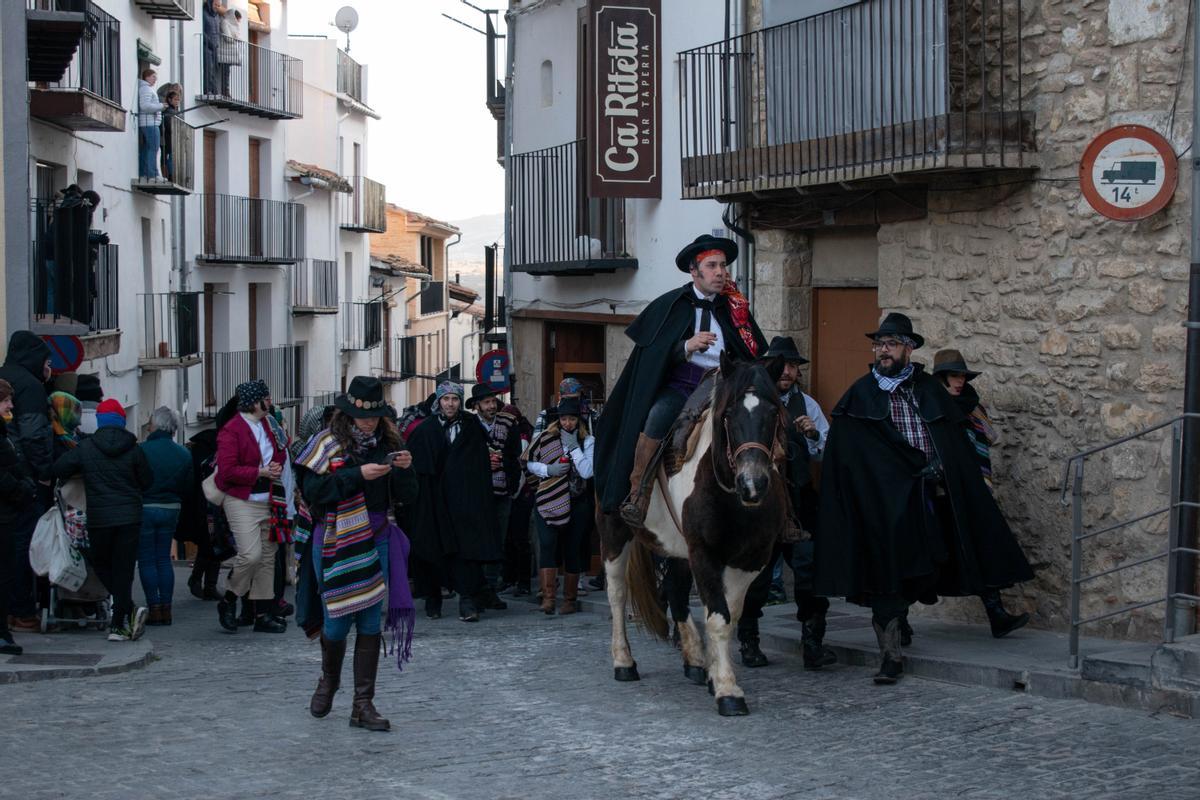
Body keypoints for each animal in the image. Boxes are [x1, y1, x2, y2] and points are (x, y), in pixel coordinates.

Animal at [597, 352, 787, 714]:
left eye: (774, 413)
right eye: (729, 415)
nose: (753, 484)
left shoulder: (750, 559)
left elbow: (729, 615)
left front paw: (715, 673)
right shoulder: (704, 552)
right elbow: (718, 617)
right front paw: (727, 690)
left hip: (677, 546)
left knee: (675, 592)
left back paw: (695, 661)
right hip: (614, 532)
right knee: (616, 594)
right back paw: (623, 662)